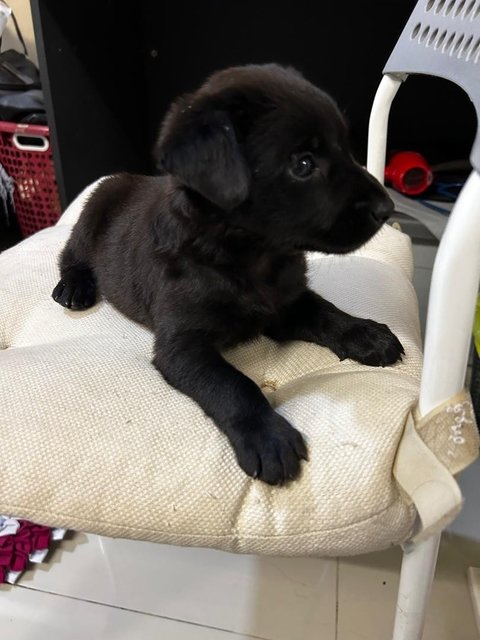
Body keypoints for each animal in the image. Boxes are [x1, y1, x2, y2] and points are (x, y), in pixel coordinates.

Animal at [52, 63, 404, 484]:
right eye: (302, 164)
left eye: (345, 147)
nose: (387, 208)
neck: (251, 256)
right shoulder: (181, 344)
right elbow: (233, 384)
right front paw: (268, 436)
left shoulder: (286, 302)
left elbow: (327, 312)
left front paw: (365, 333)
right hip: (91, 214)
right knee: (70, 254)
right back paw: (74, 287)